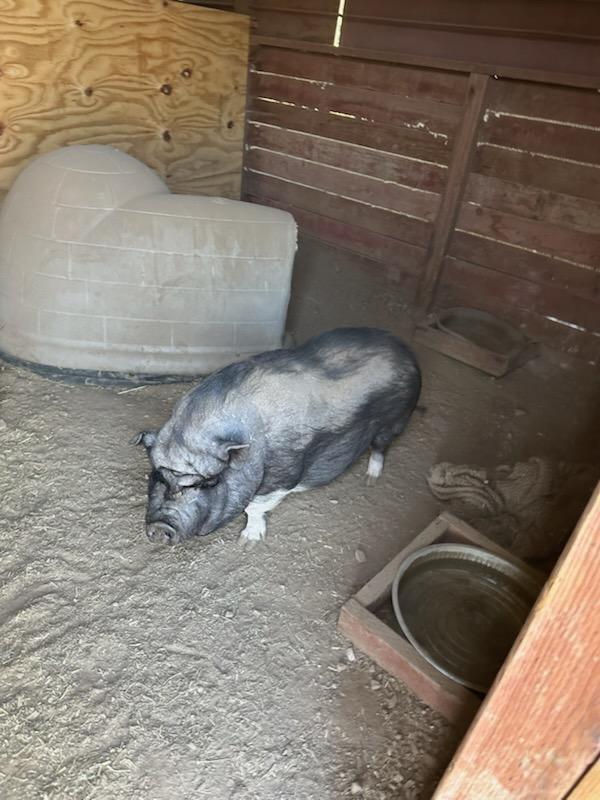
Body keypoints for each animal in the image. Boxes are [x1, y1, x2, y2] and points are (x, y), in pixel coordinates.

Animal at [136, 327, 421, 544]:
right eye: (157, 476)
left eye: (208, 483)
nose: (160, 527)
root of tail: (405, 350)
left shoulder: (283, 474)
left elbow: (255, 506)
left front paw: (247, 543)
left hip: (395, 419)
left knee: (381, 446)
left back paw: (371, 479)